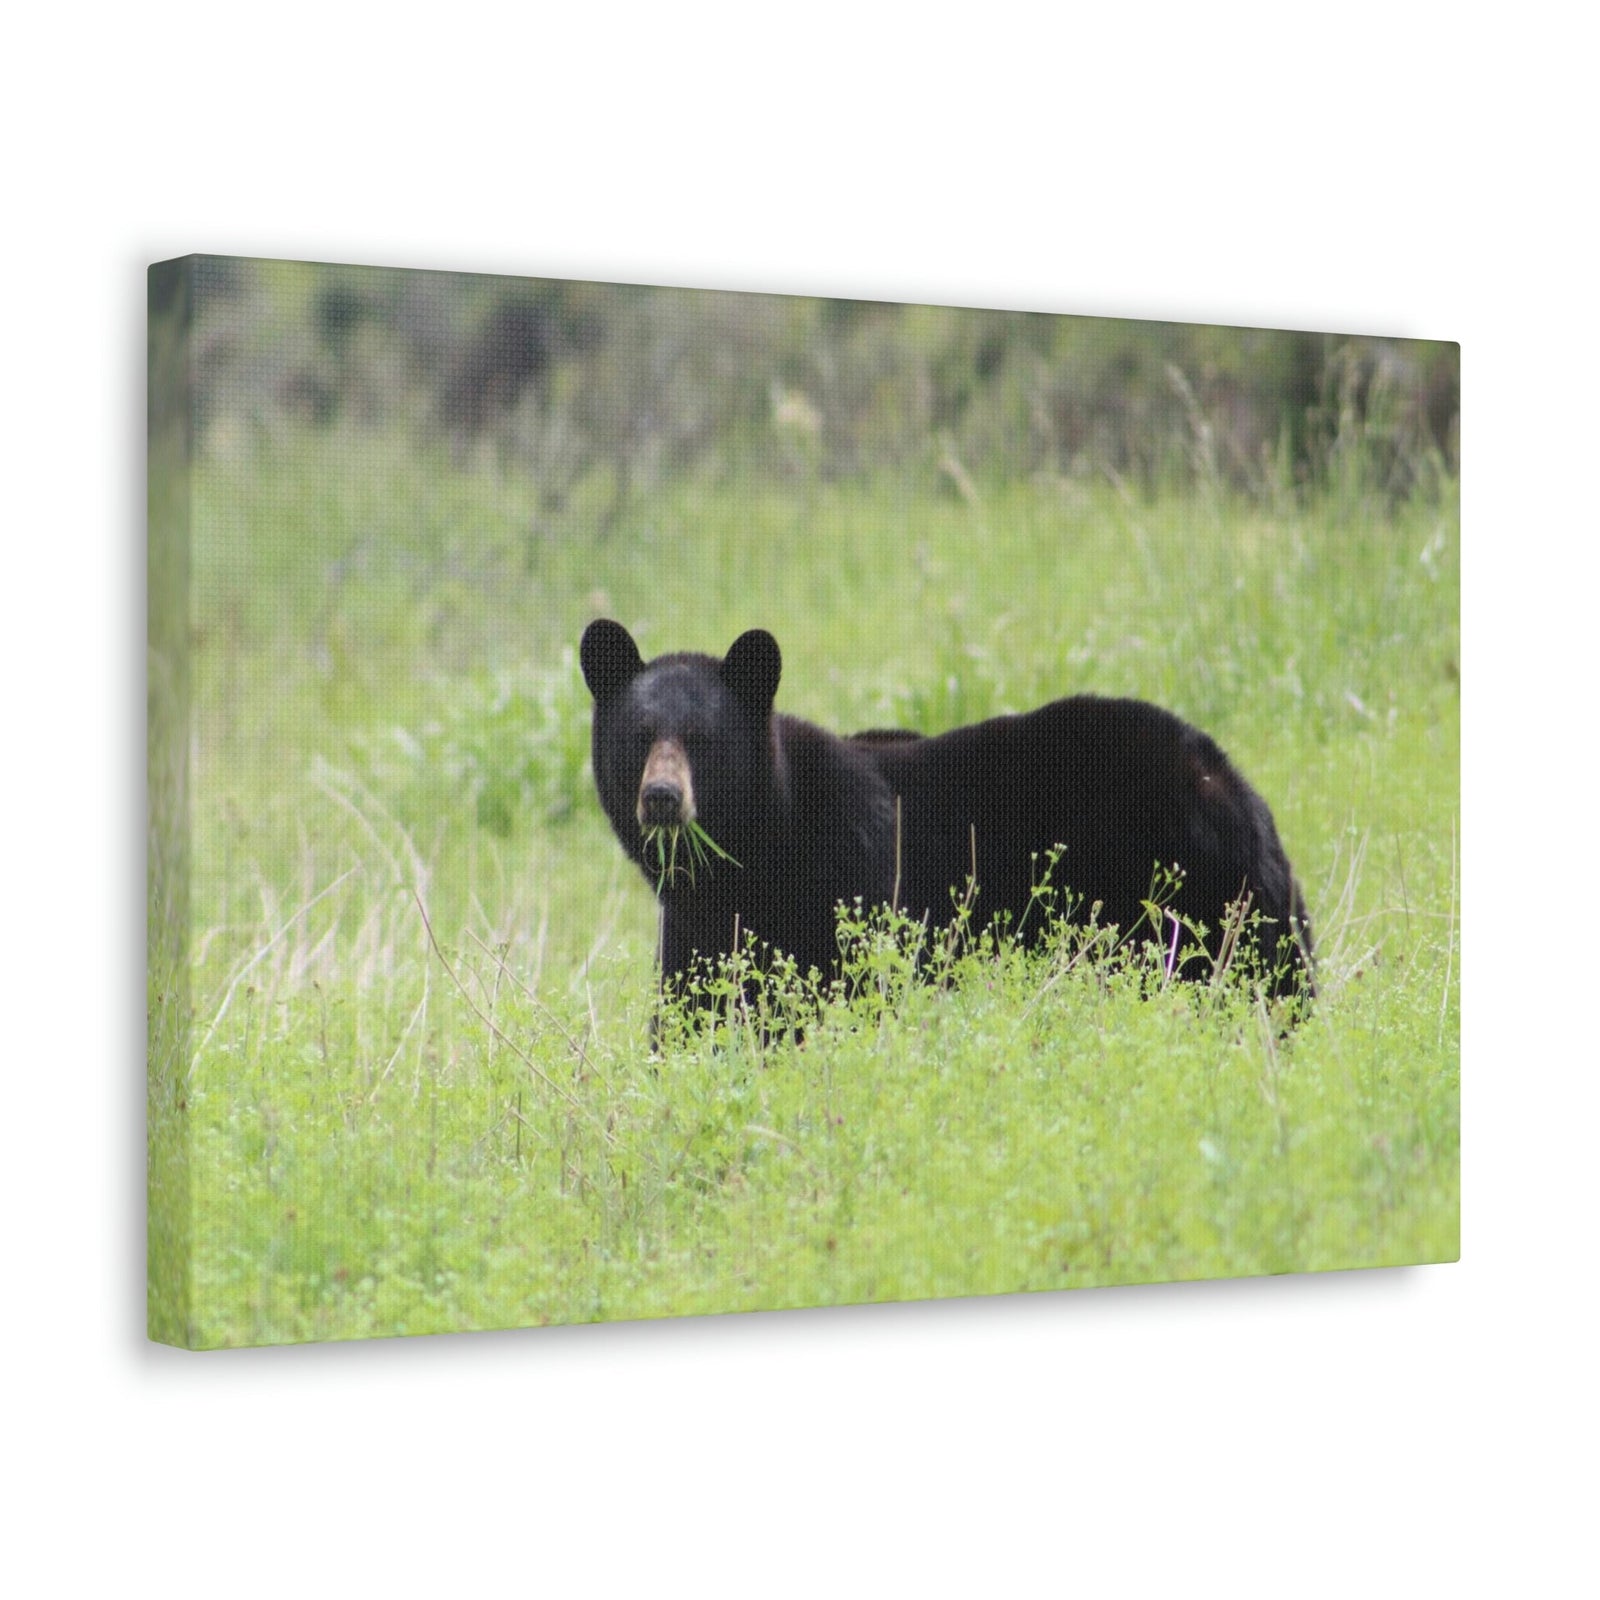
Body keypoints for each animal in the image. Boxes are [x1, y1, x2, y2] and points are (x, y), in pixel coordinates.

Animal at [579, 618, 1313, 1014]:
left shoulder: (856, 876)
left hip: (1192, 896)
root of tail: (1229, 777)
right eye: (640, 735)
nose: (662, 796)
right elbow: (694, 1013)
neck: (761, 850)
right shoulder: (698, 927)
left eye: (702, 739)